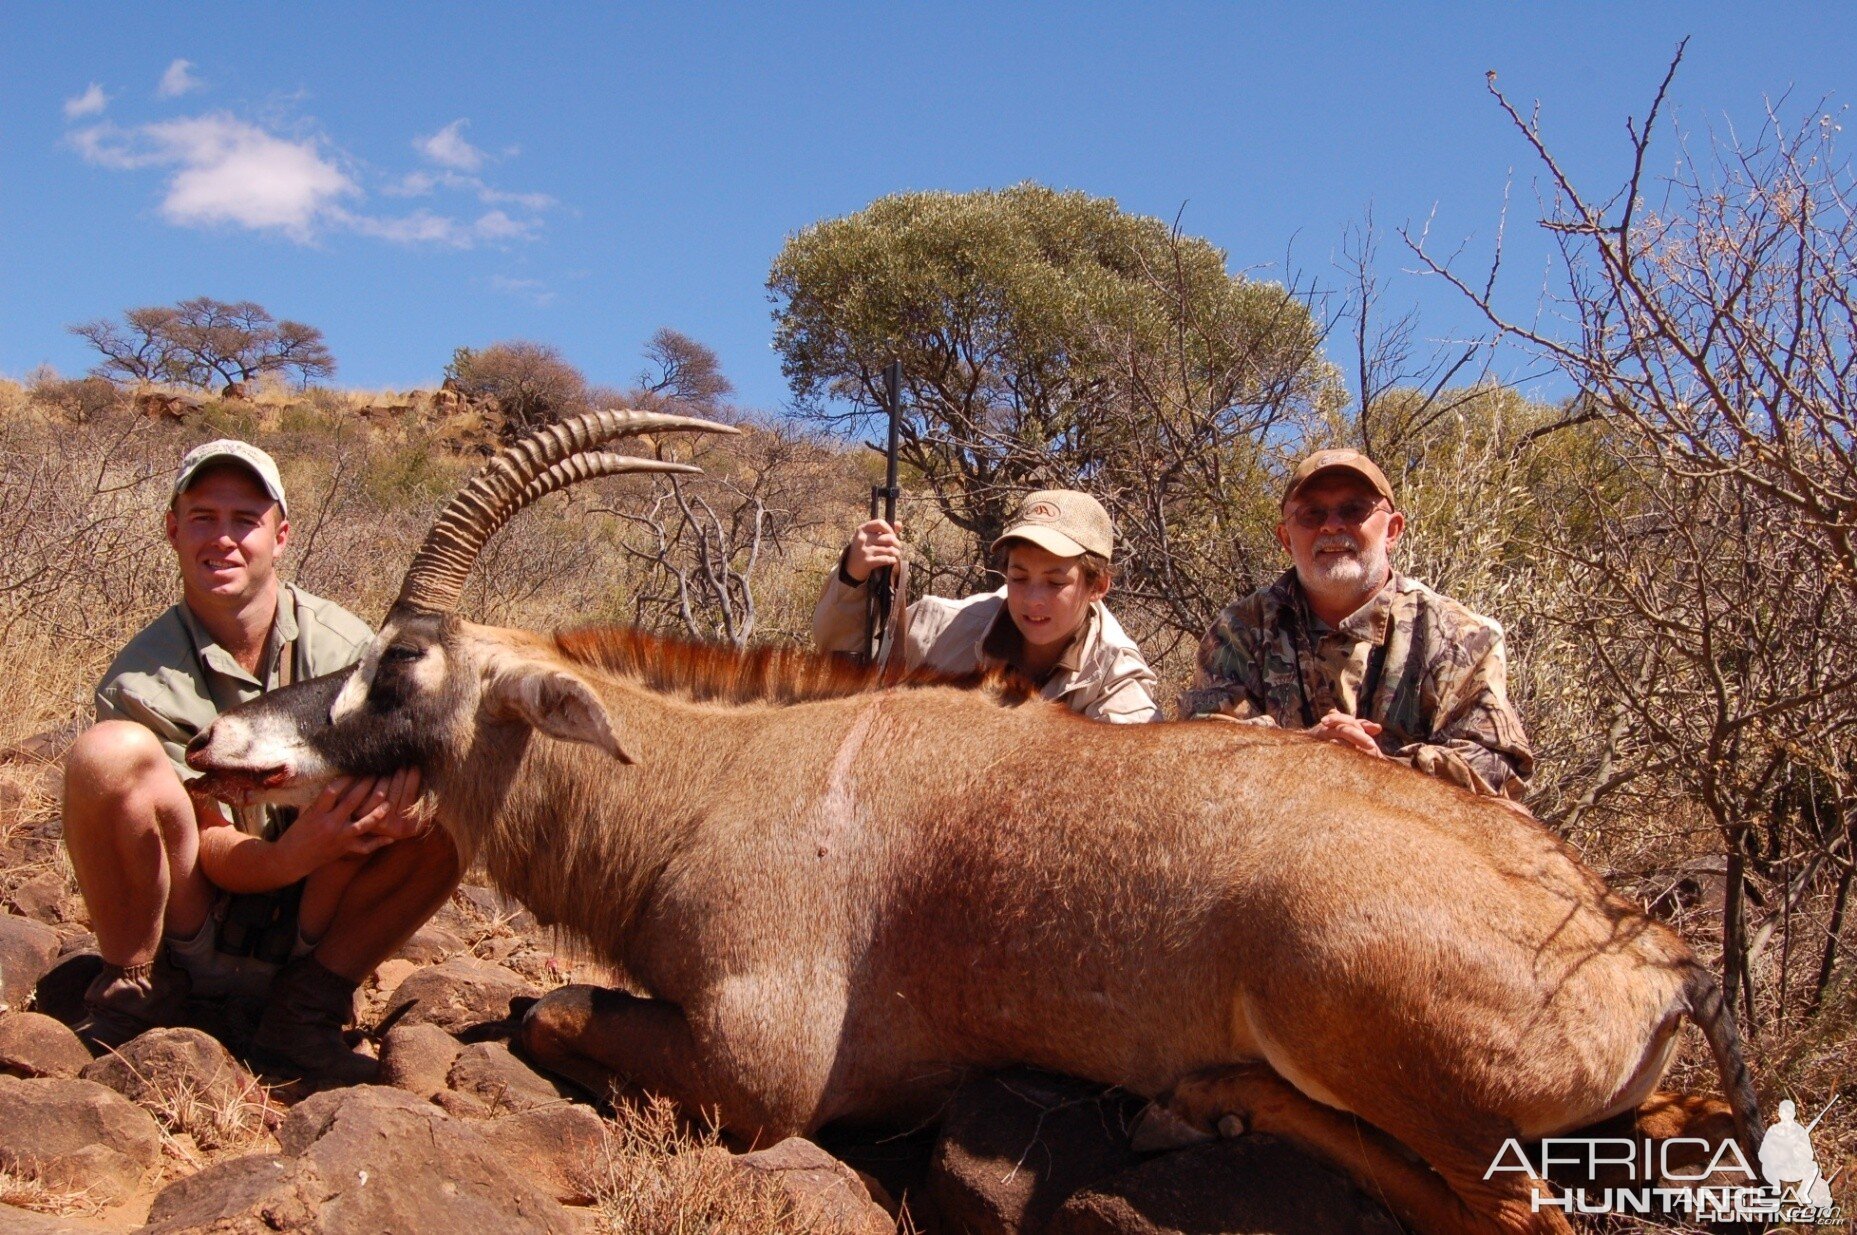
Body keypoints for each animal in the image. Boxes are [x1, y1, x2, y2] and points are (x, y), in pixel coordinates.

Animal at [184, 412, 1753, 1233]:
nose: (217, 738)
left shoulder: (767, 1065)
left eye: (405, 660)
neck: (713, 777)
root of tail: (1647, 957)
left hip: (1342, 994)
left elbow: (550, 1012)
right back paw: (1211, 1095)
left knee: (1514, 1210)